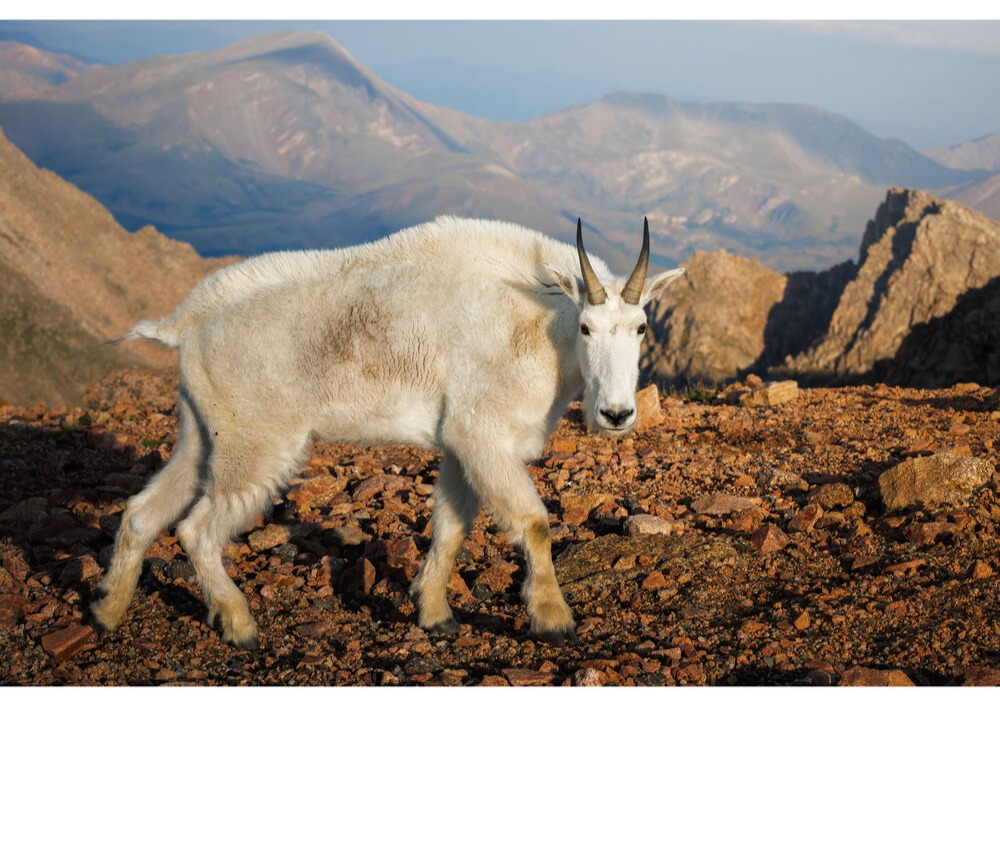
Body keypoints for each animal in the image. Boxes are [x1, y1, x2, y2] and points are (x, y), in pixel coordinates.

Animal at [91, 216, 684, 649]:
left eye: (641, 327)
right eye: (586, 327)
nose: (616, 414)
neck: (538, 322)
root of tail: (185, 323)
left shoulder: (458, 445)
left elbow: (451, 529)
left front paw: (435, 615)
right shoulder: (481, 433)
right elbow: (534, 522)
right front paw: (554, 619)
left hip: (204, 431)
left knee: (143, 512)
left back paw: (105, 611)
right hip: (258, 441)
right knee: (196, 529)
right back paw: (240, 626)